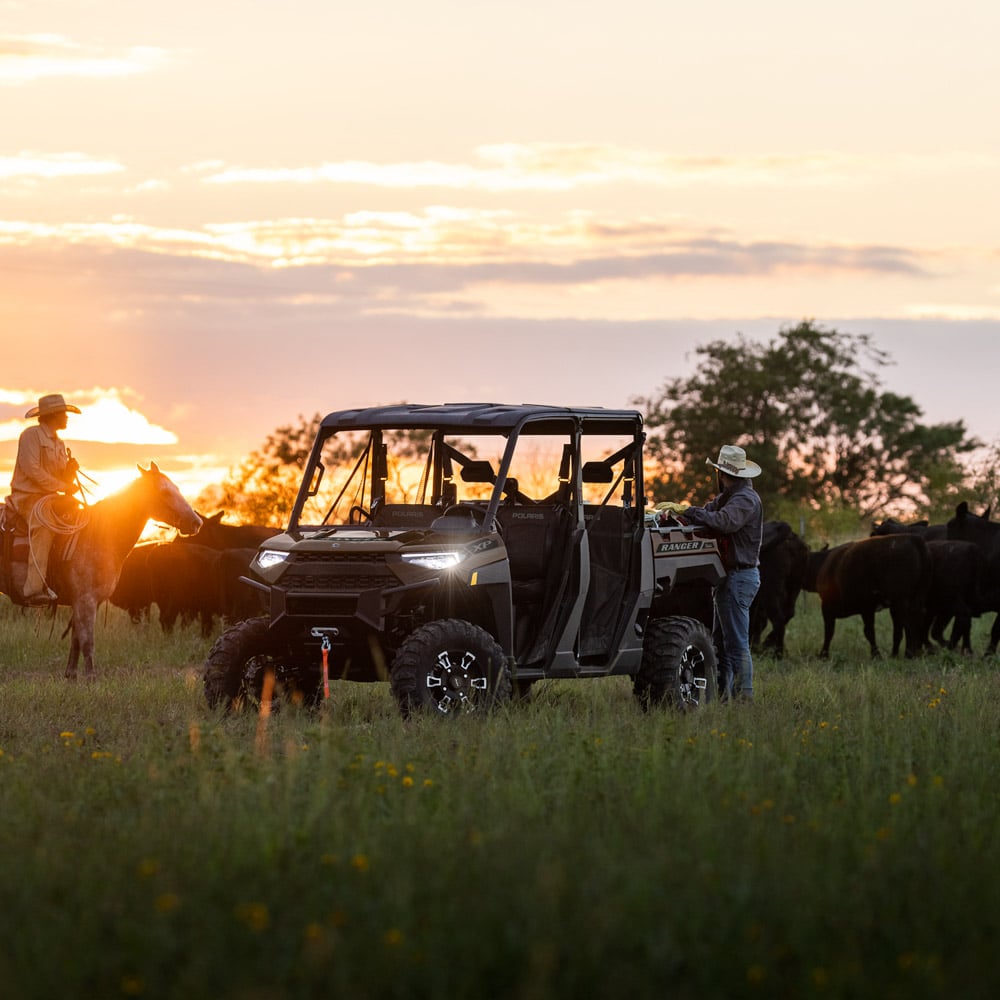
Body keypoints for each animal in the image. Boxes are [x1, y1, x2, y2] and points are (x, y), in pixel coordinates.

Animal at [0, 462, 203, 680]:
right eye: (164, 492)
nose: (196, 523)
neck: (99, 535)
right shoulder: (86, 601)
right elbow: (87, 641)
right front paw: (91, 678)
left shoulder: (86, 602)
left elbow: (77, 640)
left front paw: (71, 676)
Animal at [800, 536, 932, 660]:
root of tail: (912, 538)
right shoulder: (867, 608)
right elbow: (873, 631)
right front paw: (877, 655)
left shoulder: (828, 608)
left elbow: (830, 632)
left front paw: (823, 655)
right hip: (912, 600)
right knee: (913, 621)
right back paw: (908, 653)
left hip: (901, 602)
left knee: (909, 623)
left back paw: (909, 654)